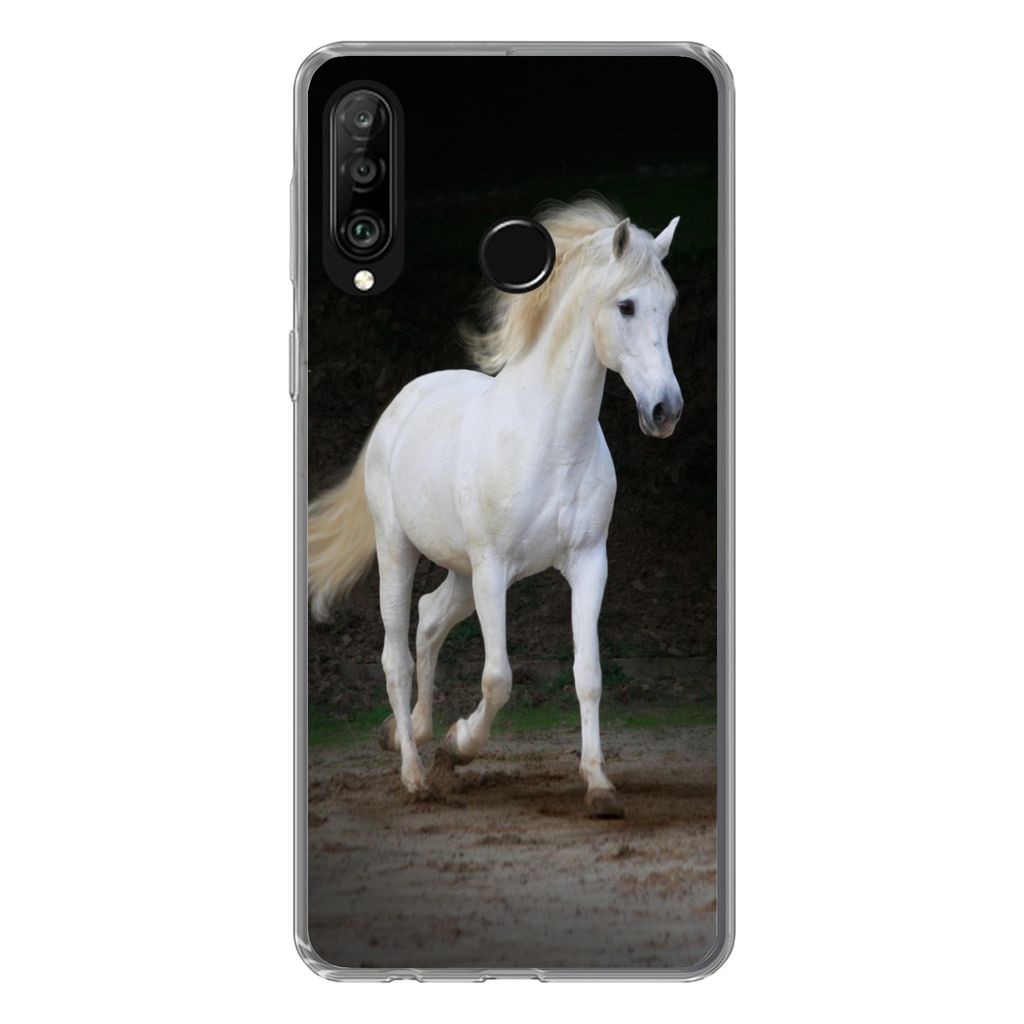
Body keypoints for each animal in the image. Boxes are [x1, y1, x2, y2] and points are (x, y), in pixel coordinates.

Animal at [308, 198, 682, 818]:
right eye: (626, 306)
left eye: (670, 306)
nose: (665, 411)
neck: (550, 441)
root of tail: (403, 401)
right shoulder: (493, 570)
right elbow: (498, 677)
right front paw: (460, 746)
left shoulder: (589, 564)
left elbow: (589, 674)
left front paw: (599, 786)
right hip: (399, 550)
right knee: (396, 655)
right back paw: (415, 771)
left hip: (459, 573)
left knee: (431, 619)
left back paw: (413, 731)